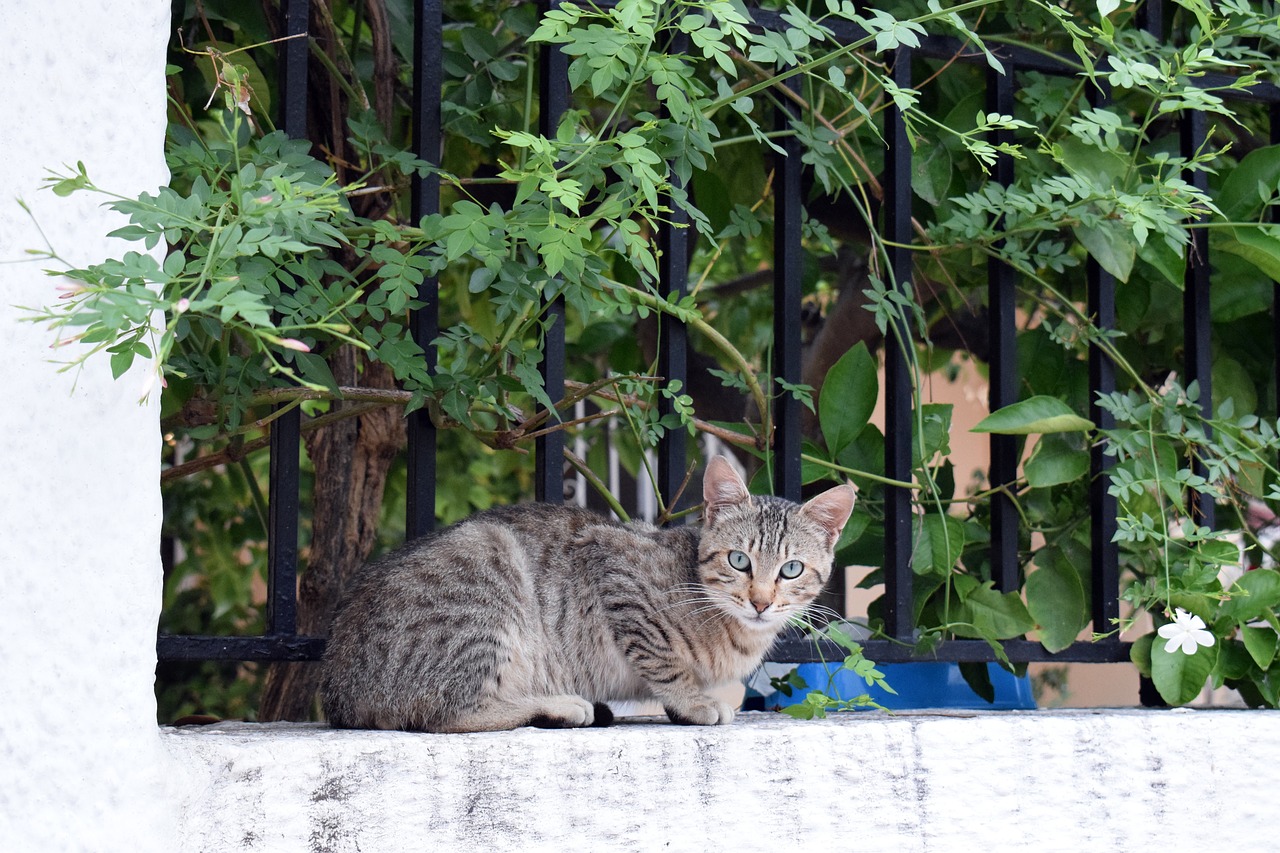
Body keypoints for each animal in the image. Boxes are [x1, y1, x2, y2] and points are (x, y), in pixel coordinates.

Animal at [320, 455, 860, 727]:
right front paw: (692, 701)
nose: (761, 602)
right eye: (739, 560)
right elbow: (664, 657)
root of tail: (337, 687)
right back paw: (559, 705)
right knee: (445, 713)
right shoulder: (614, 566)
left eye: (792, 569)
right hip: (485, 575)